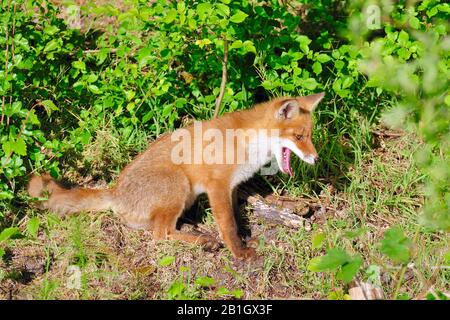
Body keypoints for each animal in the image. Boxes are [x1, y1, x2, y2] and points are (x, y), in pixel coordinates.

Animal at [28, 92, 324, 260]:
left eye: (309, 135)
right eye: (299, 137)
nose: (316, 159)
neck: (247, 141)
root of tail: (114, 192)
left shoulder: (231, 186)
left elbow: (240, 214)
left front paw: (248, 235)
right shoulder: (217, 184)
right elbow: (228, 225)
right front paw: (239, 252)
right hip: (179, 185)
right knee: (161, 234)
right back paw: (204, 241)